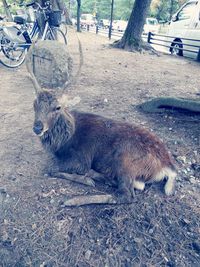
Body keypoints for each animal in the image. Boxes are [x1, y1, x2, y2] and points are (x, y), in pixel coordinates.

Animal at [27, 63, 177, 208]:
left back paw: (73, 200)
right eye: (34, 104)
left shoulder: (81, 159)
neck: (63, 142)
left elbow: (51, 169)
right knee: (137, 185)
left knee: (126, 195)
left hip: (125, 160)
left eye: (58, 107)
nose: (37, 127)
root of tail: (167, 166)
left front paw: (86, 180)